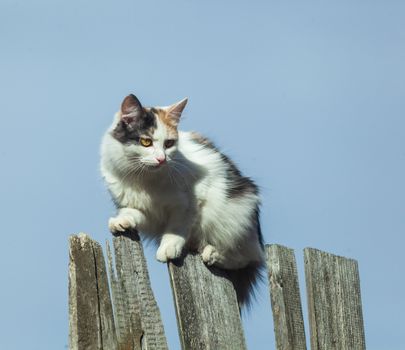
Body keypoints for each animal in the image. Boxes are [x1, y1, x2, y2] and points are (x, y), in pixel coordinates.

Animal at [100, 93, 266, 304]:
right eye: (146, 142)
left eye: (169, 144)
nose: (161, 159)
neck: (144, 178)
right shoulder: (139, 208)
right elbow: (131, 213)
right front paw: (121, 222)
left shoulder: (191, 201)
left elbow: (177, 227)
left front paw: (169, 247)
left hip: (234, 216)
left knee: (246, 258)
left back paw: (212, 253)